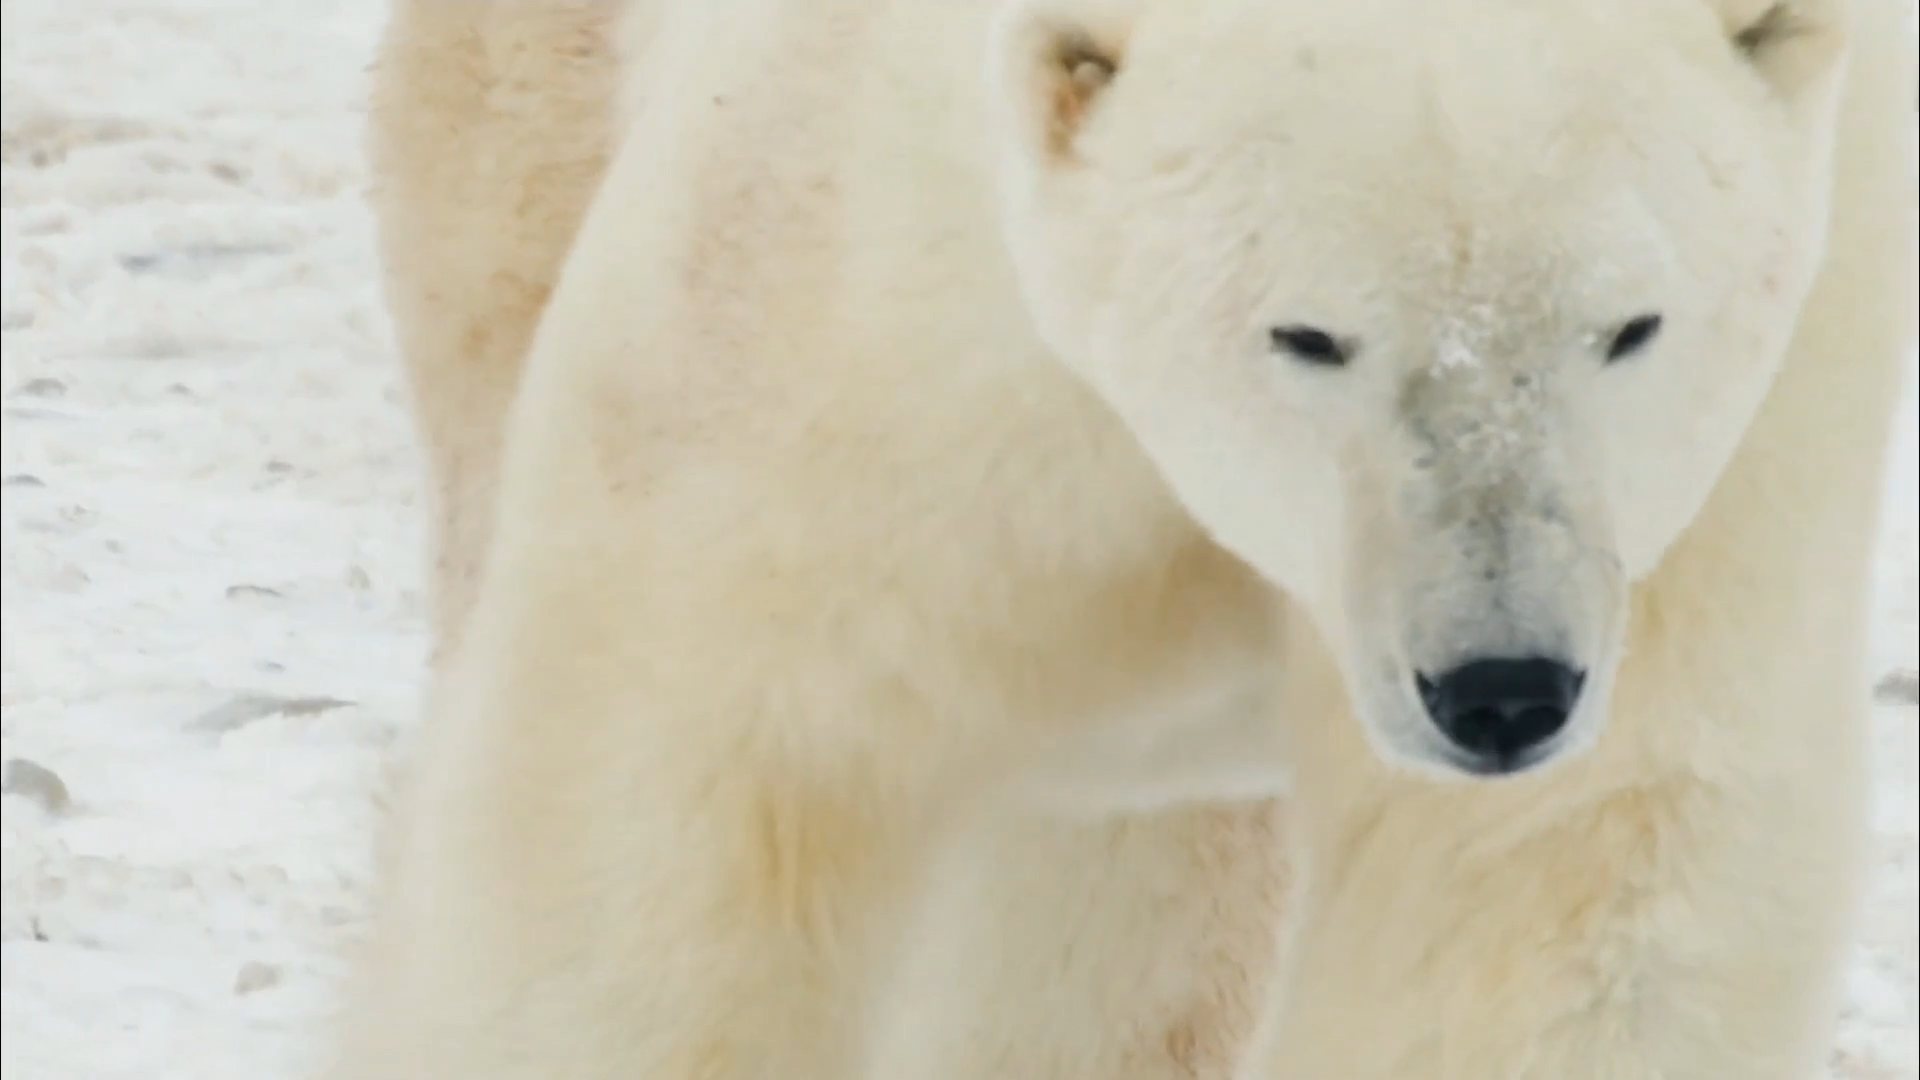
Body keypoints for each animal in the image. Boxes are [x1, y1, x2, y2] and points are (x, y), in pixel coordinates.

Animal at [334, 0, 1917, 1078]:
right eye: (1306, 332)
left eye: (1630, 325)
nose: (1501, 688)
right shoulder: (852, 321)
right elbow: (678, 803)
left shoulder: (1736, 443)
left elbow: (1558, 875)